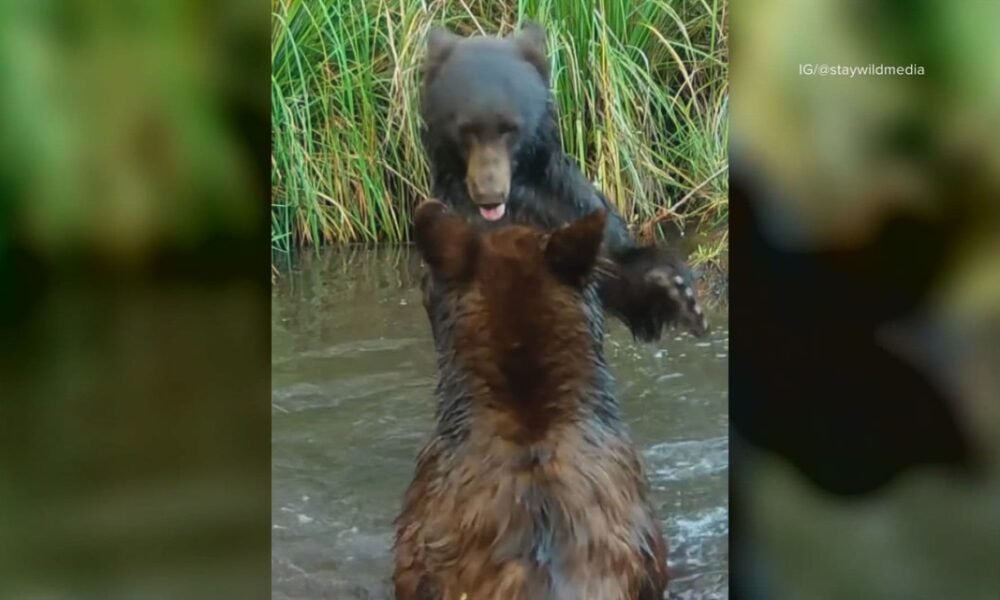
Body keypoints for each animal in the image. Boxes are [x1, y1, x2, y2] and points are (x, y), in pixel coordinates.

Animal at [418, 22, 708, 342]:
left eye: (510, 128)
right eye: (466, 130)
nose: (489, 193)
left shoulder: (565, 208)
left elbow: (615, 270)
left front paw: (678, 291)